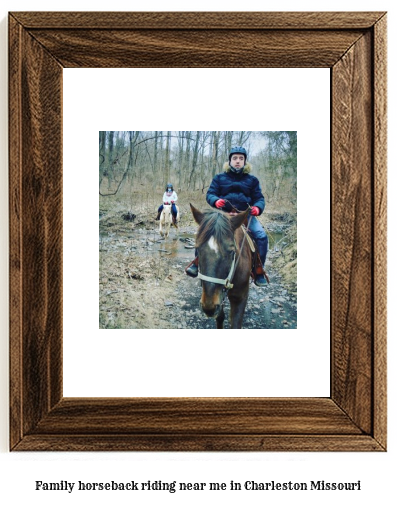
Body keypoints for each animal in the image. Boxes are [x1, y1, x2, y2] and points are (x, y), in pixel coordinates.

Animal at [191, 204, 252, 332]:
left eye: (232, 251)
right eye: (197, 249)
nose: (209, 307)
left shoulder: (240, 297)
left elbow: (235, 324)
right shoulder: (218, 297)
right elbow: (220, 317)